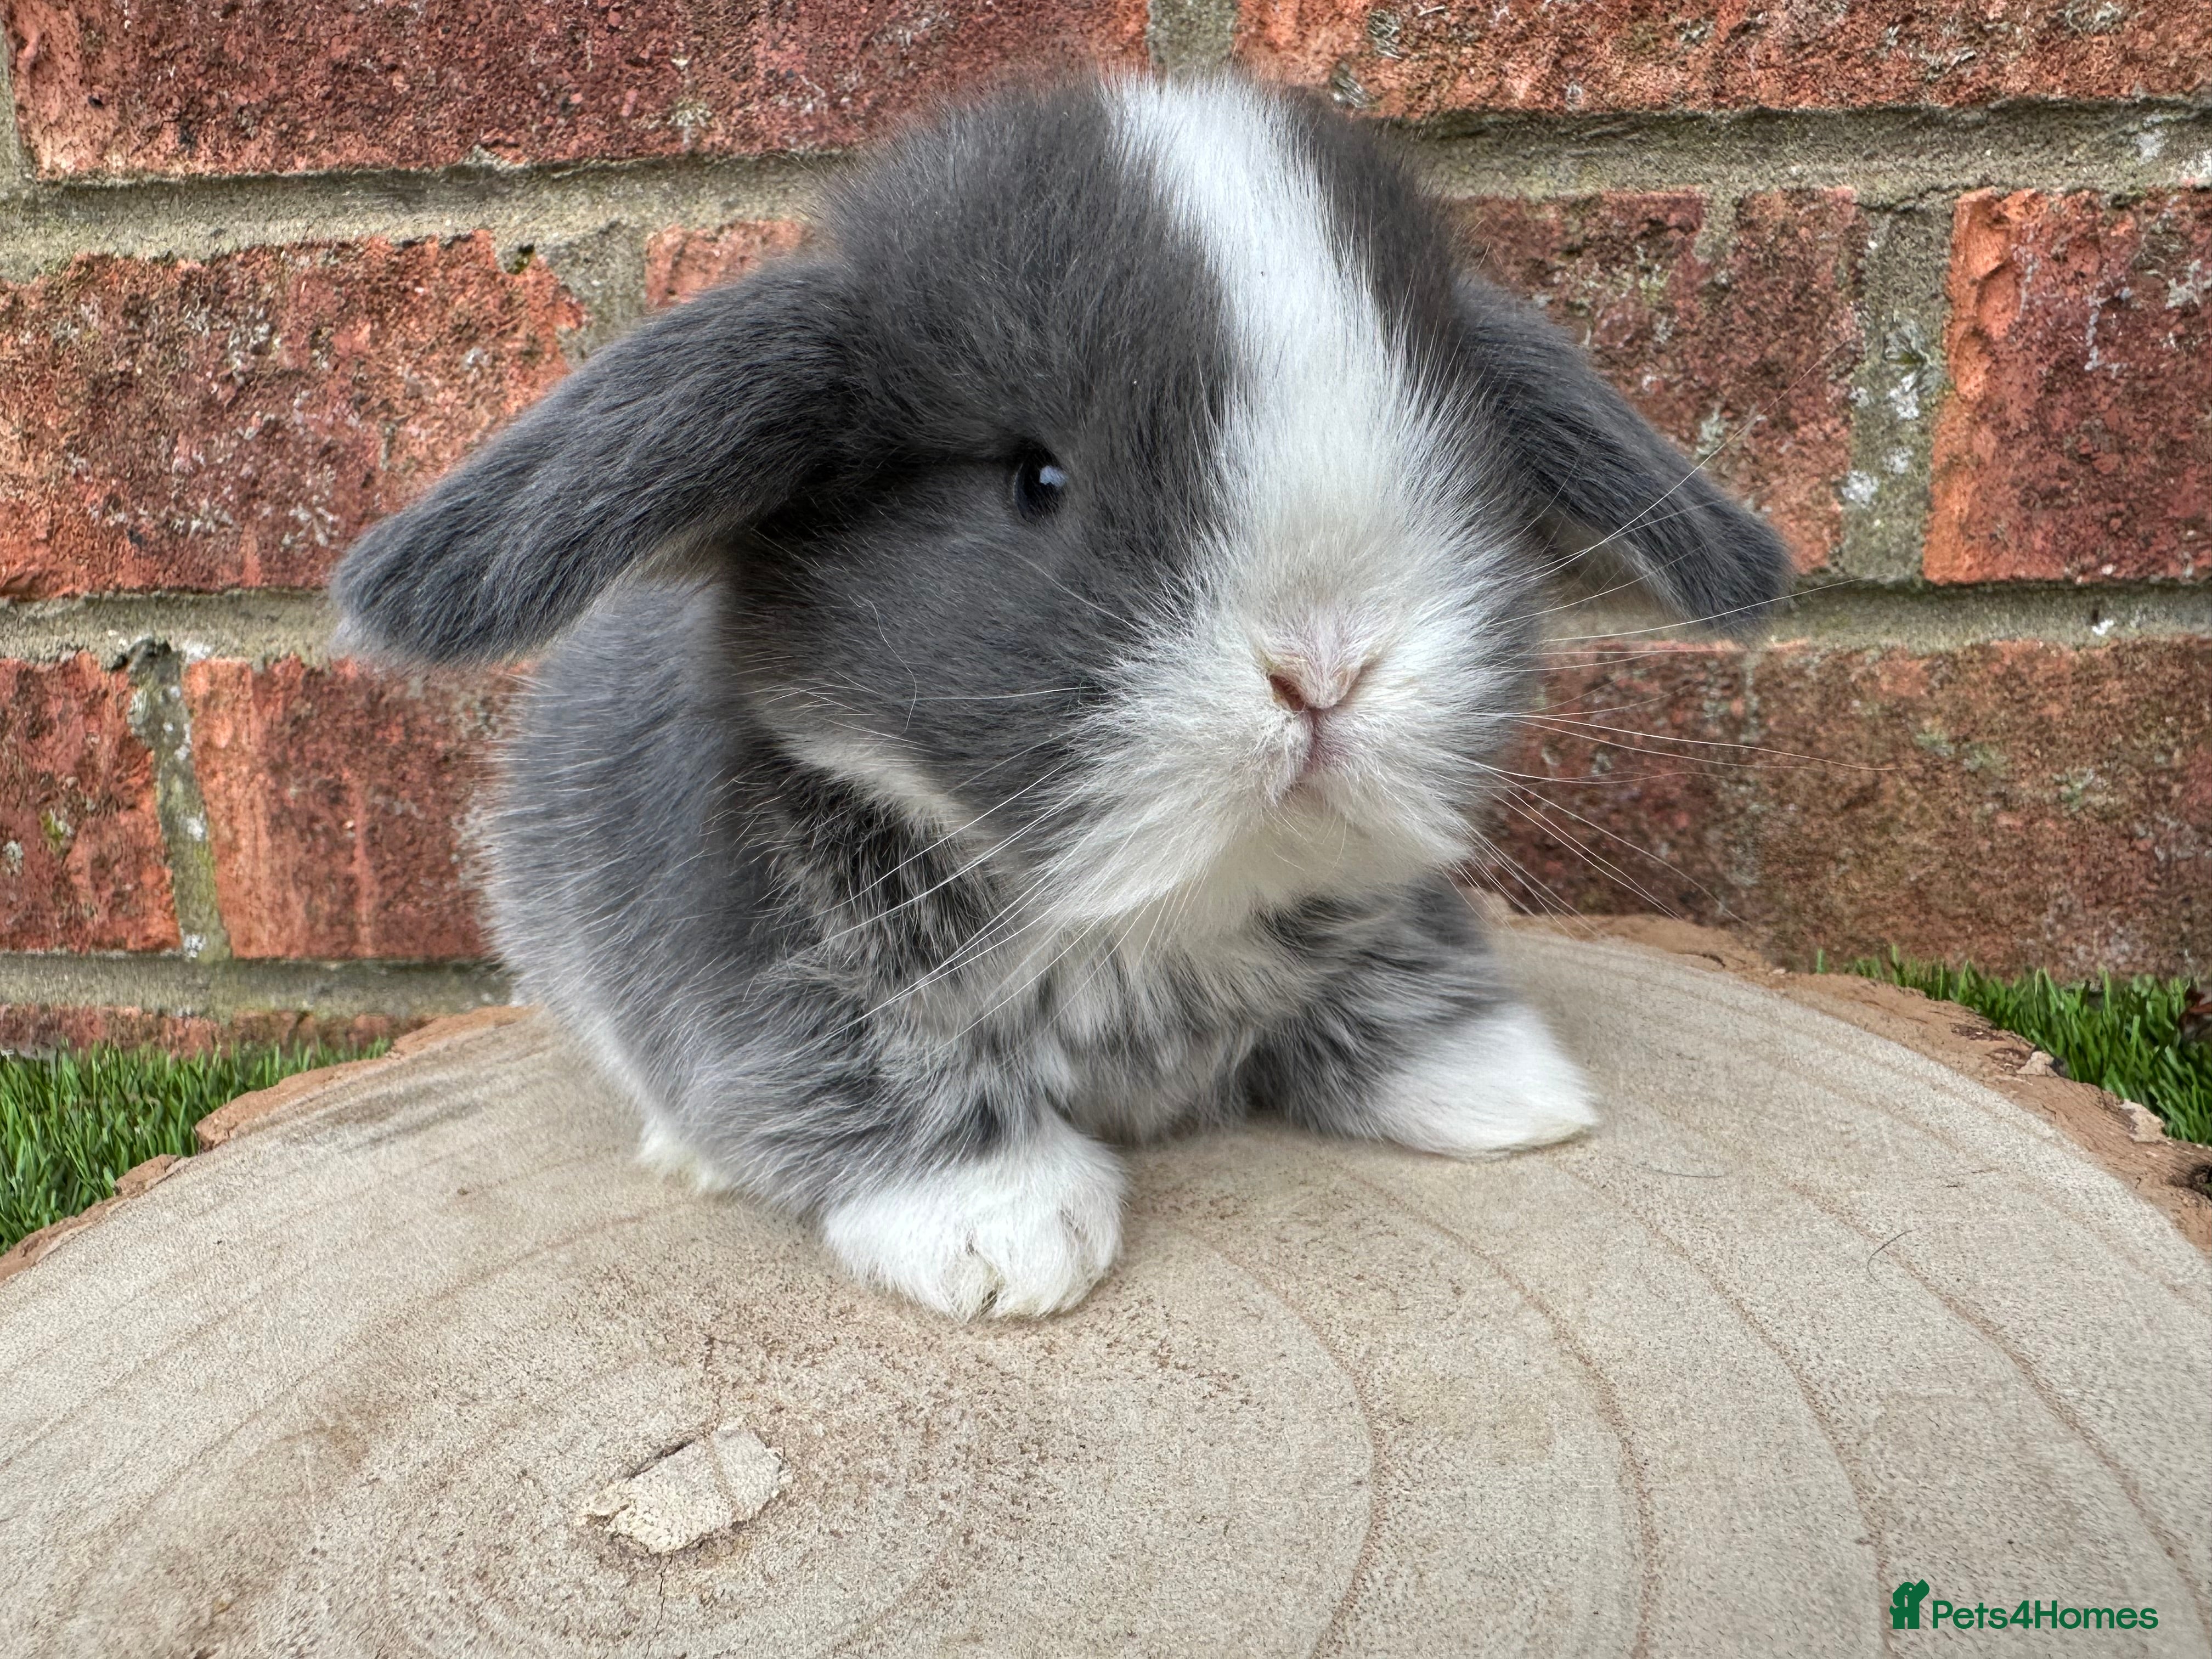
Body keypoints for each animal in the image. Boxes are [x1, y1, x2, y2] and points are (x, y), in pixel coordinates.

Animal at [333, 73, 1788, 1320]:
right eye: (1036, 480)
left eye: (1466, 474)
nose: (1325, 668)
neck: (1140, 918)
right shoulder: (764, 983)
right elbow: (857, 1079)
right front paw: (1004, 1235)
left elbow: (1395, 976)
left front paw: (1507, 1089)